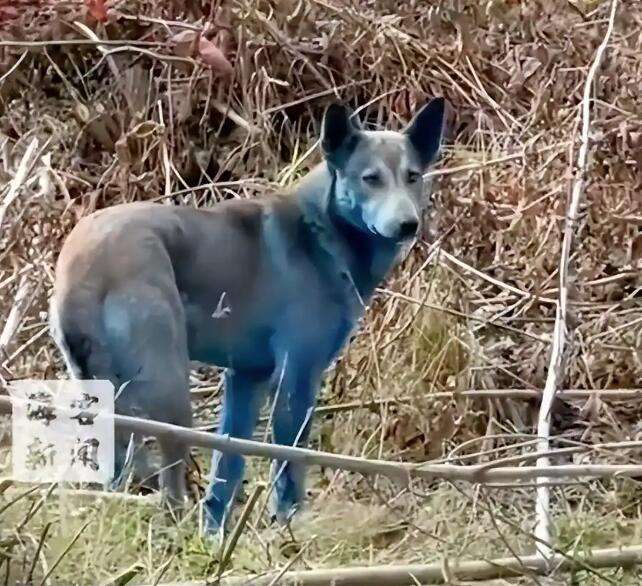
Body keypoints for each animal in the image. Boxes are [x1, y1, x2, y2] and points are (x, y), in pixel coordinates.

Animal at [49, 97, 446, 534]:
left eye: (412, 177)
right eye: (370, 179)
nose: (408, 225)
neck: (321, 230)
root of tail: (80, 264)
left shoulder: (245, 379)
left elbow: (227, 468)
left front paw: (216, 537)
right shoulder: (297, 377)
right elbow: (290, 463)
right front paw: (290, 528)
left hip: (107, 400)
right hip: (171, 392)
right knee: (170, 486)